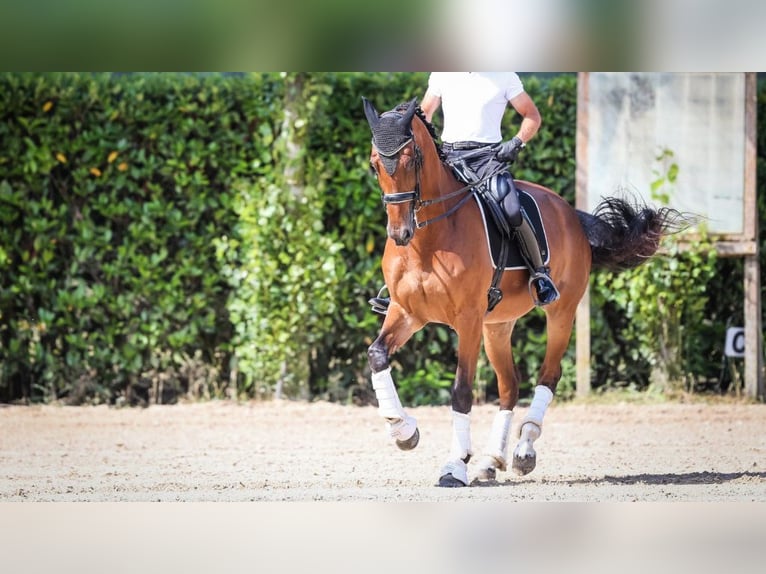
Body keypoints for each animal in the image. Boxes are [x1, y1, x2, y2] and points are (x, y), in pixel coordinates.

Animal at [366, 97, 684, 488]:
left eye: (413, 160)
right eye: (375, 164)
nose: (400, 233)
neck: (428, 240)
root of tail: (569, 212)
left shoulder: (467, 321)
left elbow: (461, 390)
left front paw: (454, 466)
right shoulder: (406, 311)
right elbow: (377, 355)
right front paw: (404, 431)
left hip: (560, 313)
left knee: (548, 375)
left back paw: (523, 451)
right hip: (497, 326)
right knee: (509, 385)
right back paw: (491, 461)